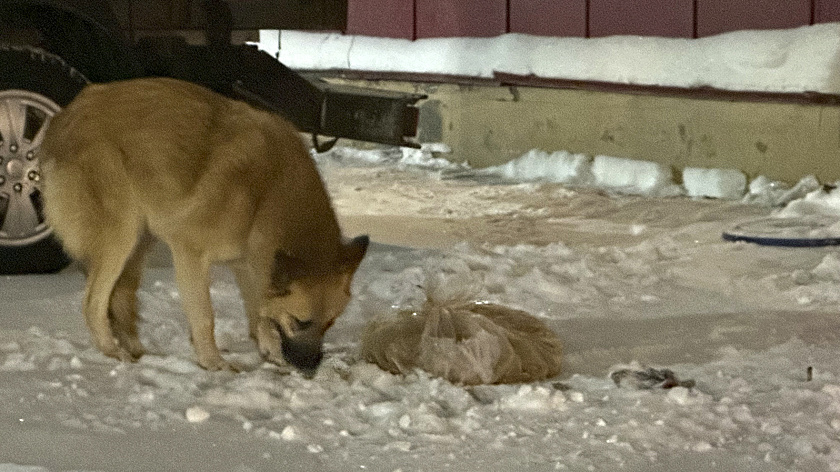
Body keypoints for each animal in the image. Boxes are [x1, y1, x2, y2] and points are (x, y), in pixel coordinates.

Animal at [40, 77, 368, 376]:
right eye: (300, 322)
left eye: (330, 323)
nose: (311, 369)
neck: (268, 194)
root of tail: (64, 117)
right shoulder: (191, 254)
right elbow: (205, 316)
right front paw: (213, 363)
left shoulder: (248, 262)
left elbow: (259, 312)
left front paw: (270, 352)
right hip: (122, 235)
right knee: (93, 302)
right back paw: (112, 352)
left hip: (140, 240)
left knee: (120, 297)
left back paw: (136, 350)